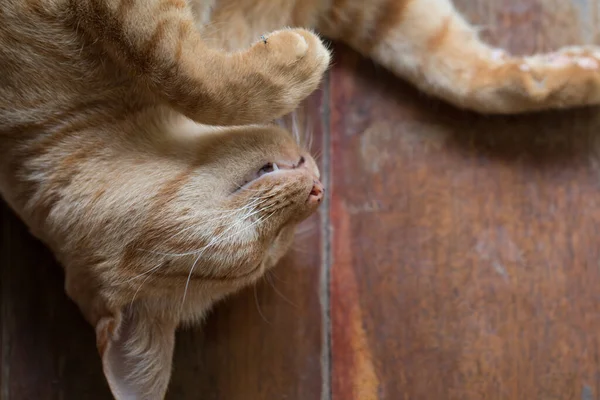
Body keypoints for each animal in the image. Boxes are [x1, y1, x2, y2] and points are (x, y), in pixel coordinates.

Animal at [0, 0, 596, 396]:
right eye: (260, 251)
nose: (318, 189)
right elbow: (180, 65)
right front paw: (296, 60)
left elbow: (463, 75)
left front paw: (577, 74)